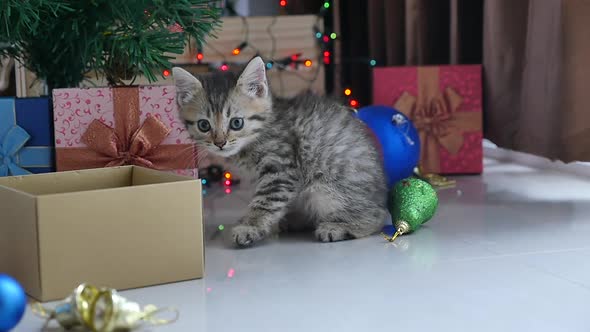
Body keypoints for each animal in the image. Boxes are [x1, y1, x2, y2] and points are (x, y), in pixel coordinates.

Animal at [173, 57, 390, 248]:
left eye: (236, 123)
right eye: (203, 125)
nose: (220, 143)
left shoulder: (281, 170)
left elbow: (265, 202)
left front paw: (249, 226)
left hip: (326, 187)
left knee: (376, 215)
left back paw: (338, 227)